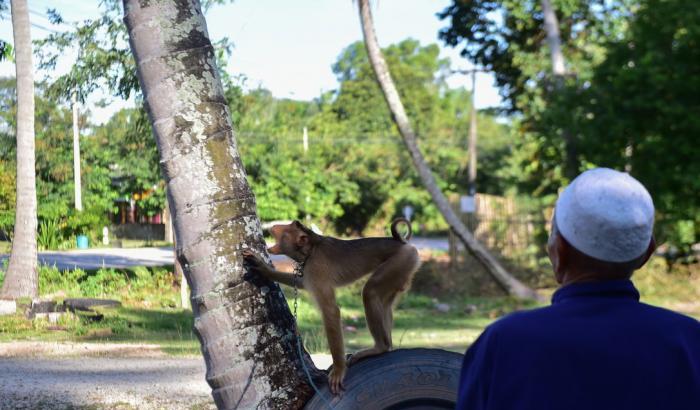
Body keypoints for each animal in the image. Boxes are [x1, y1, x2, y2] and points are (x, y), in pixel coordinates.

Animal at [243, 218, 422, 394]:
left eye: (286, 228)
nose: (274, 226)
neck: (311, 249)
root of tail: (404, 244)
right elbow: (301, 283)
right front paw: (264, 269)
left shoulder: (315, 268)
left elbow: (330, 311)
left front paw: (338, 370)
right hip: (403, 269)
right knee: (384, 303)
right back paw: (387, 346)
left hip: (400, 261)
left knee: (370, 293)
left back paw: (380, 348)